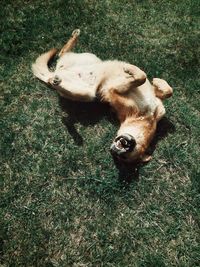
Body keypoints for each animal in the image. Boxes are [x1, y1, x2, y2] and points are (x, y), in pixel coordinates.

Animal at [32, 29, 173, 163]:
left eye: (123, 158)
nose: (115, 150)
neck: (147, 118)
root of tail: (55, 73)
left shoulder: (111, 91)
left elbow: (145, 79)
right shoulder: (157, 107)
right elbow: (157, 85)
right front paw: (154, 80)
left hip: (88, 93)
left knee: (59, 76)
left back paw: (57, 83)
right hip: (90, 58)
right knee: (62, 52)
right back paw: (75, 37)